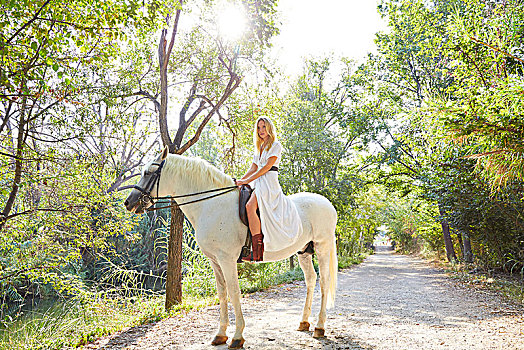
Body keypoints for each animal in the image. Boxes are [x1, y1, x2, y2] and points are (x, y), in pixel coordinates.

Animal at [123, 147, 338, 348]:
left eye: (148, 173)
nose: (128, 202)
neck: (211, 204)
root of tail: (327, 203)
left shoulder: (227, 259)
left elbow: (234, 292)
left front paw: (237, 336)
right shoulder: (215, 261)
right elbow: (222, 293)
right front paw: (221, 334)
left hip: (322, 247)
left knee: (324, 281)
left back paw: (319, 326)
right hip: (303, 251)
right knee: (311, 279)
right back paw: (304, 322)